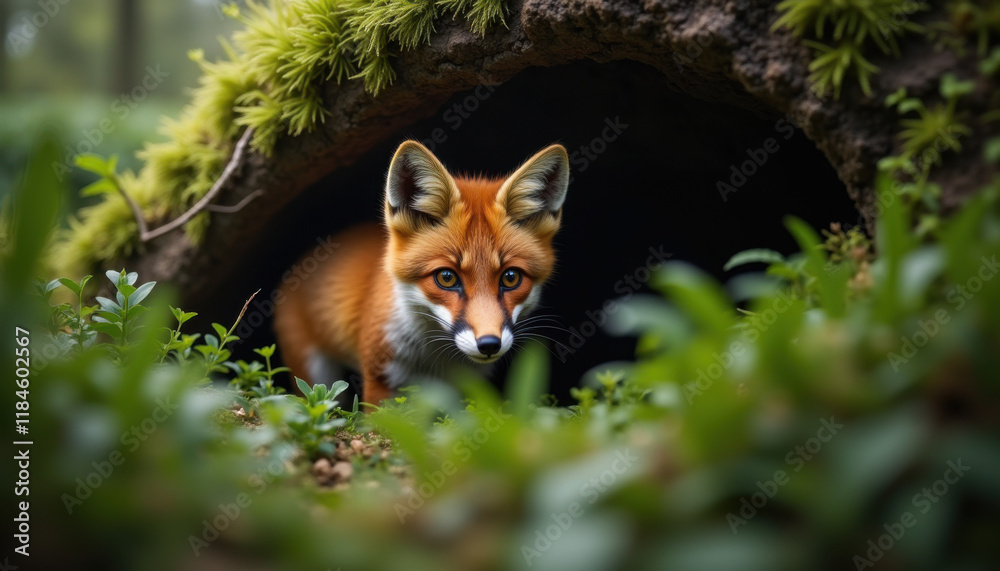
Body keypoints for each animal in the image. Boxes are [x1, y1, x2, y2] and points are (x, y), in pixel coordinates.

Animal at [274, 140, 570, 405]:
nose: (488, 344)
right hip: (315, 375)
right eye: (446, 277)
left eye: (511, 277)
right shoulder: (379, 375)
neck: (434, 359)